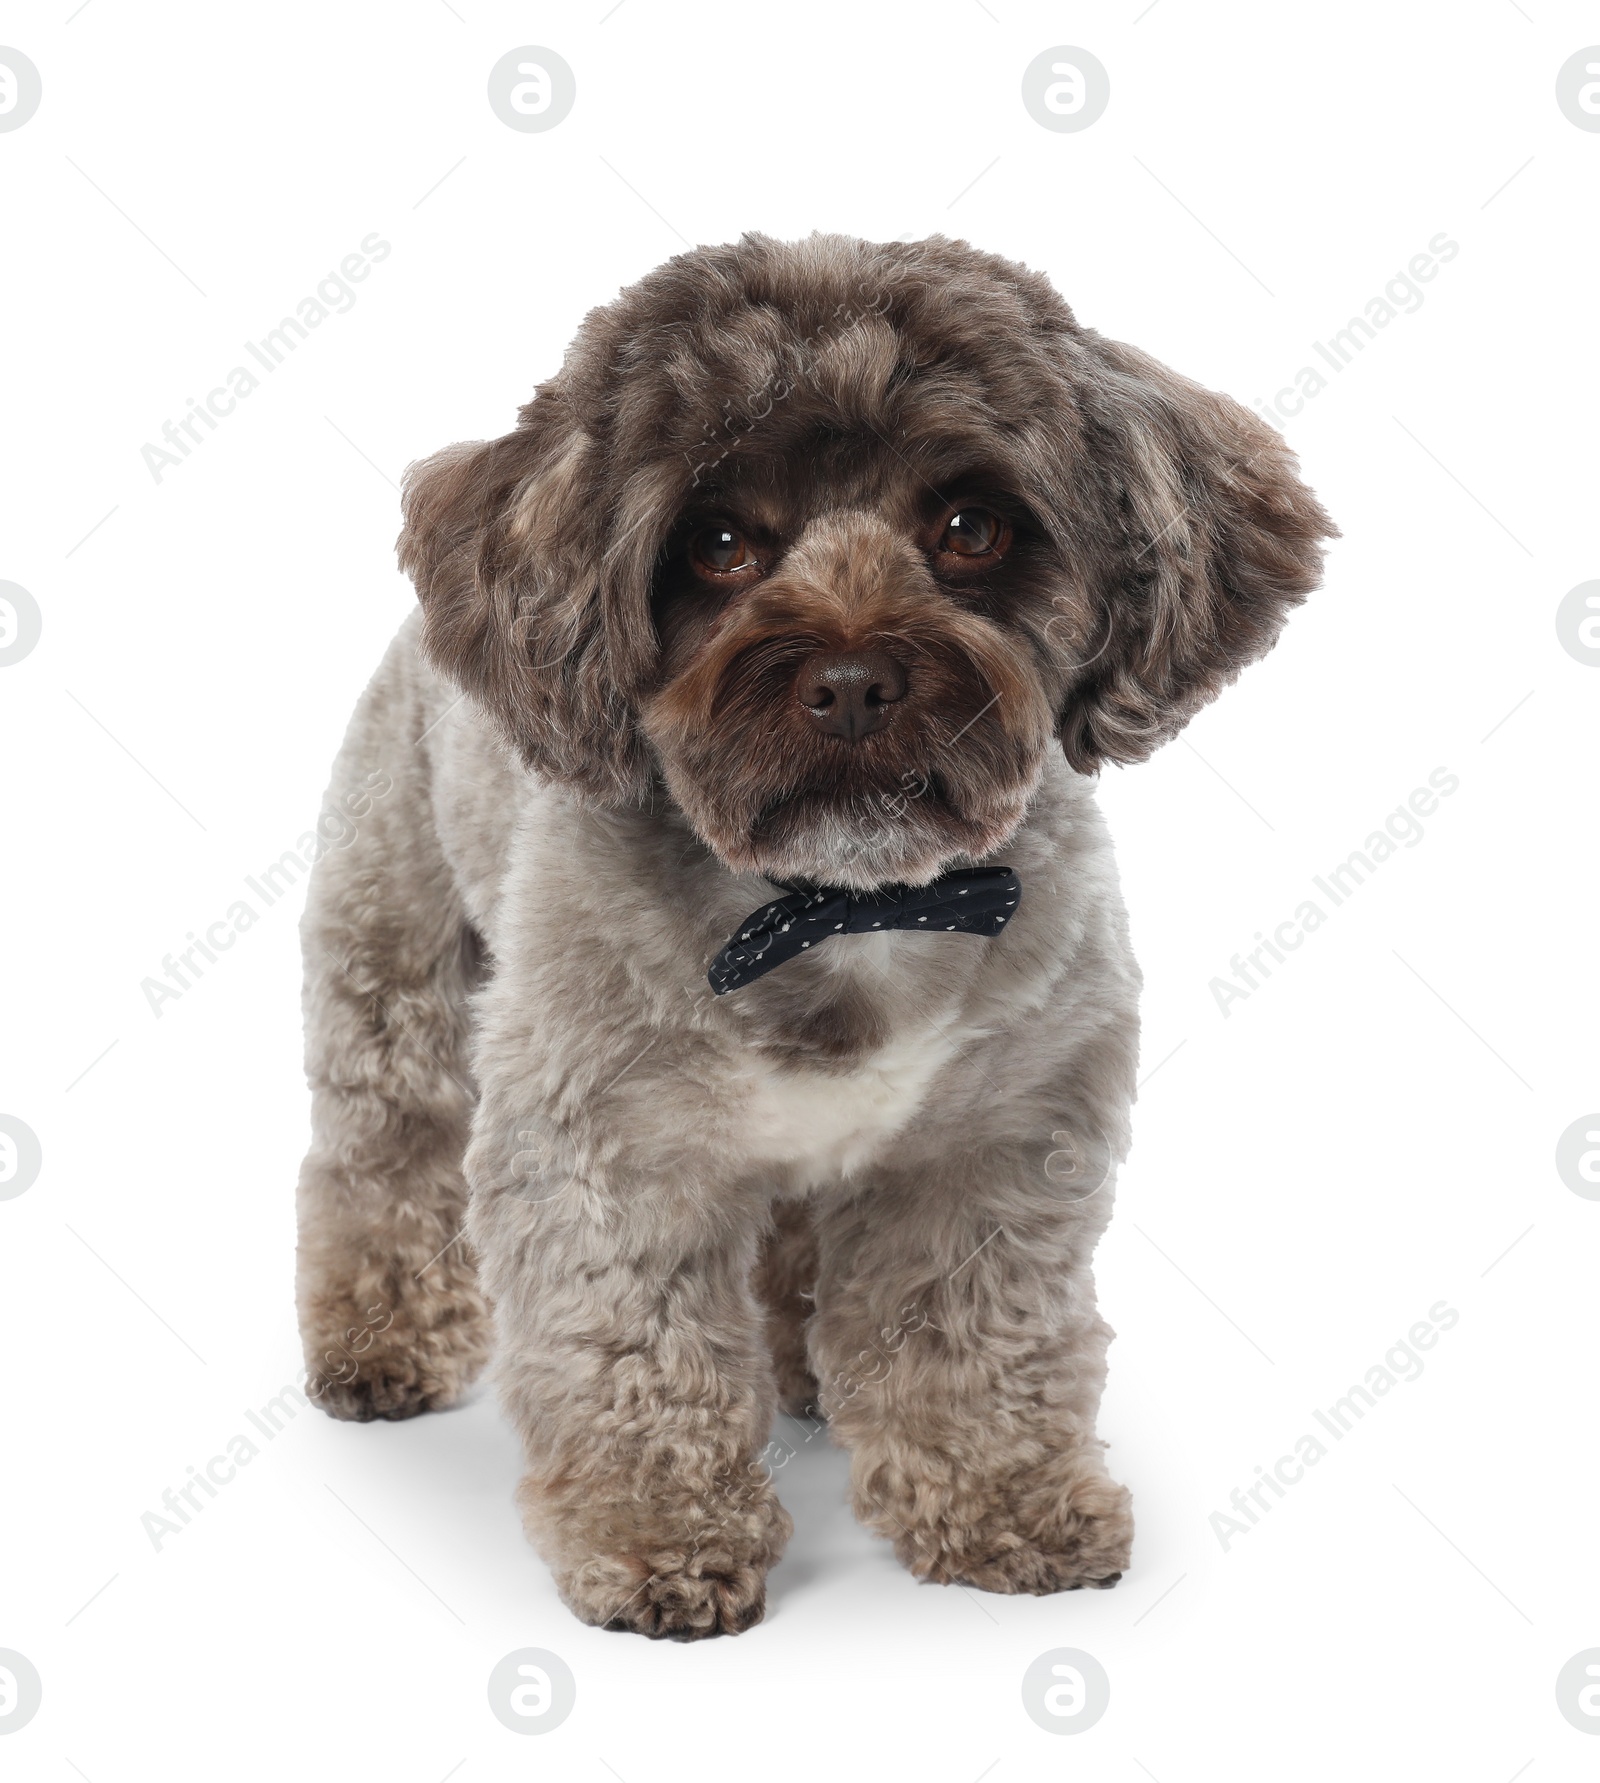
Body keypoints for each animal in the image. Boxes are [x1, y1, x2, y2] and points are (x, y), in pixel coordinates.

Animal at [290, 230, 1334, 1633]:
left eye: (969, 528)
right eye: (721, 543)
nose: (848, 679)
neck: (842, 903)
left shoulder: (990, 1153)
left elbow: (973, 1346)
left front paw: (1001, 1502)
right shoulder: (611, 1154)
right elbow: (638, 1357)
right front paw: (659, 1535)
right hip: (396, 973)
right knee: (378, 1162)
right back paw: (379, 1339)